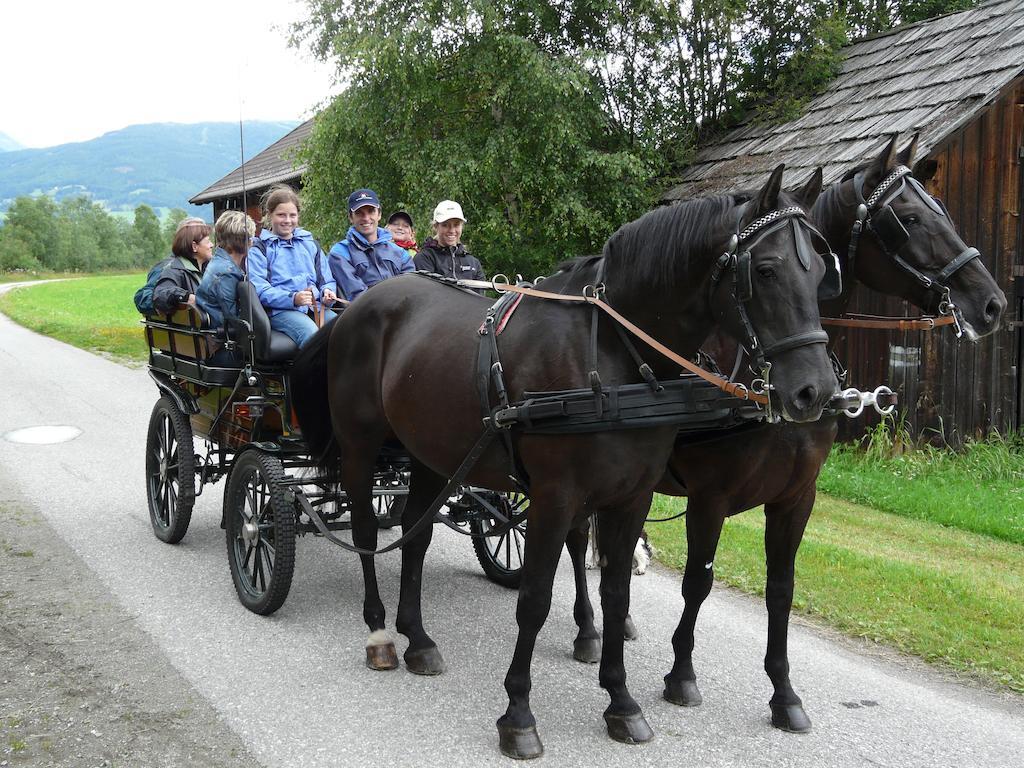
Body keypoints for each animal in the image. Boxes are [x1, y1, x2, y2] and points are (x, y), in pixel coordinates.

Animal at [288, 165, 839, 761]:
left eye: (822, 272)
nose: (815, 391)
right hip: (361, 448)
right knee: (368, 531)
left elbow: (616, 594)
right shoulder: (560, 497)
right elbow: (533, 599)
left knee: (415, 536)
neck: (613, 354)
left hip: (431, 454)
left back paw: (419, 639)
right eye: (765, 270)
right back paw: (380, 634)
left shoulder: (632, 497)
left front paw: (622, 703)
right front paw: (518, 716)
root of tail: (358, 306)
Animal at [561, 137, 1007, 733]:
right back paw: (589, 629)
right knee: (575, 540)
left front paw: (784, 694)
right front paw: (681, 675)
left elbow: (782, 590)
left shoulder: (797, 497)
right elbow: (697, 581)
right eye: (910, 219)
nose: (992, 303)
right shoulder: (710, 496)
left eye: (821, 267)